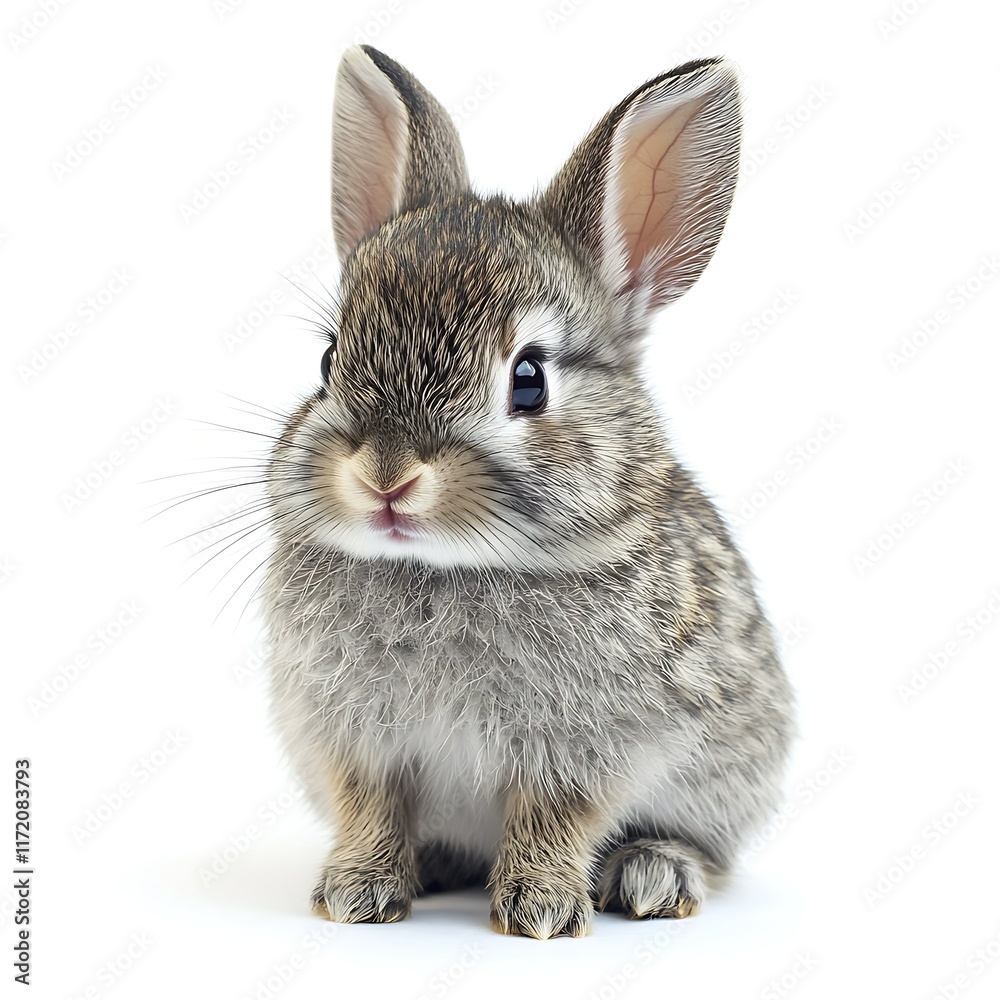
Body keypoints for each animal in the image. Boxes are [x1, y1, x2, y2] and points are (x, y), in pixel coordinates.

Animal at [261, 44, 794, 939]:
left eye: (530, 380)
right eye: (330, 359)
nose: (386, 477)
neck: (447, 568)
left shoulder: (585, 748)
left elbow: (557, 816)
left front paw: (540, 909)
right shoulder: (357, 738)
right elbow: (372, 807)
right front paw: (357, 894)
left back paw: (653, 875)